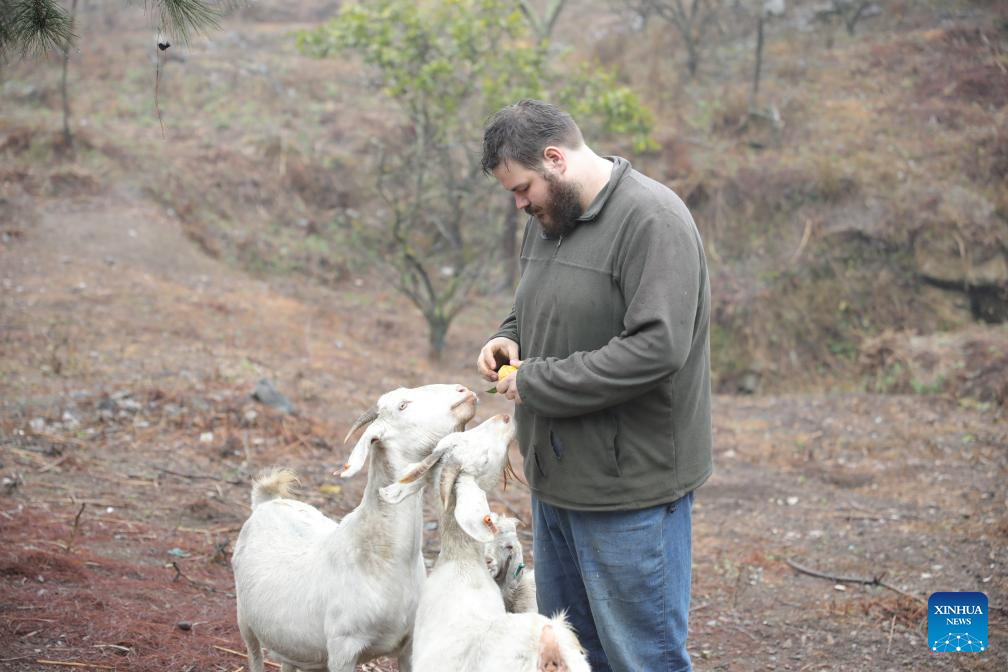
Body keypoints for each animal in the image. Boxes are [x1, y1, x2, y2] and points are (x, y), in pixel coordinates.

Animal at [231, 382, 475, 672]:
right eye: (402, 406)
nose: (463, 391)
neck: (384, 558)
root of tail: (266, 501)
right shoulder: (343, 649)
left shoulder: (409, 644)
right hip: (244, 619)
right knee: (254, 653)